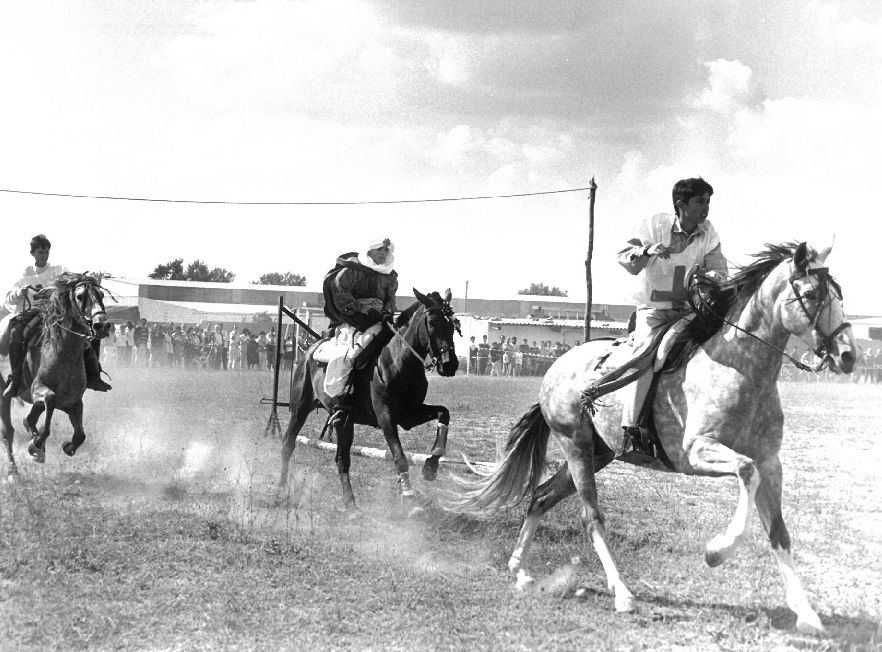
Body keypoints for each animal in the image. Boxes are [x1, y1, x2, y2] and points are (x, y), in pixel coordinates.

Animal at [1, 273, 108, 477]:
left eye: (102, 295)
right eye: (80, 296)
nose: (103, 325)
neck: (64, 354)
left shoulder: (73, 402)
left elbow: (80, 434)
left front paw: (66, 446)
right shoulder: (38, 389)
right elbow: (49, 400)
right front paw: (36, 445)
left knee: (28, 420)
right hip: (4, 394)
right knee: (7, 431)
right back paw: (13, 471)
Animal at [279, 288, 460, 509]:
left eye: (453, 325)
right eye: (432, 322)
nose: (449, 364)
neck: (398, 361)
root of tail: (309, 352)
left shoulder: (410, 415)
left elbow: (444, 413)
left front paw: (431, 465)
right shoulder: (386, 417)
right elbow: (399, 456)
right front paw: (408, 493)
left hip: (344, 423)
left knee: (342, 459)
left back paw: (350, 504)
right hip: (300, 409)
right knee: (288, 444)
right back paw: (281, 490)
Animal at [449, 242, 857, 635]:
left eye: (839, 294)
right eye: (812, 294)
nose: (848, 355)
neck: (739, 368)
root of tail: (556, 367)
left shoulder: (773, 463)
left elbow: (779, 533)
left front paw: (807, 615)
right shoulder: (697, 453)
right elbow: (746, 471)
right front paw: (717, 551)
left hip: (598, 453)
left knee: (540, 496)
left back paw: (519, 571)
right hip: (576, 447)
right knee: (590, 517)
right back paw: (622, 593)